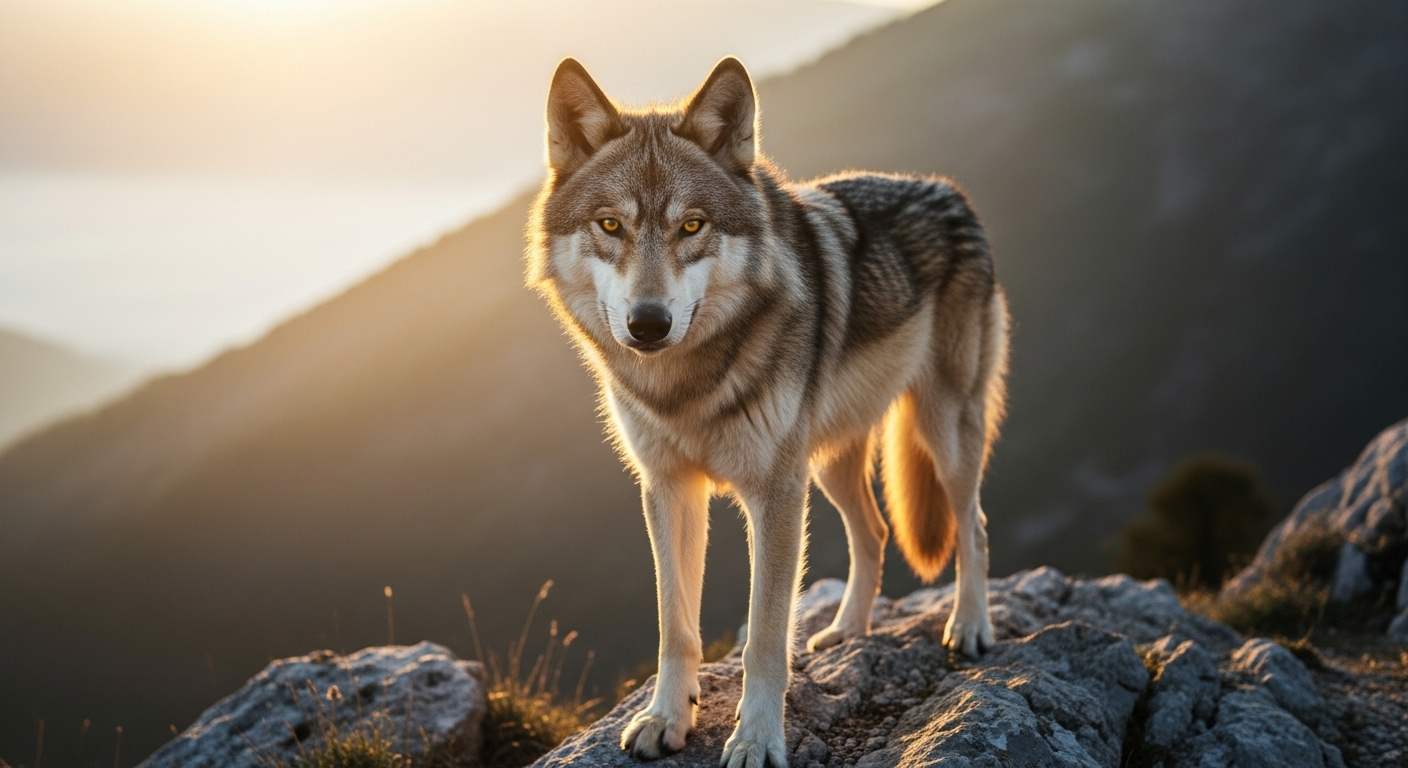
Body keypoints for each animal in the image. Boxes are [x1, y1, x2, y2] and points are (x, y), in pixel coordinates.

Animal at [526, 57, 1008, 767]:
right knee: (874, 532)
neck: (686, 386)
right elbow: (676, 625)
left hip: (939, 431)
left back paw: (969, 626)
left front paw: (755, 738)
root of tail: (949, 192)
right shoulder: (668, 488)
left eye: (692, 225)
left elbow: (764, 638)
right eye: (610, 225)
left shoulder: (775, 493)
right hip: (828, 464)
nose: (648, 324)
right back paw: (847, 632)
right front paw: (665, 718)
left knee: (972, 521)